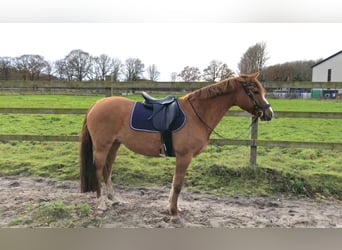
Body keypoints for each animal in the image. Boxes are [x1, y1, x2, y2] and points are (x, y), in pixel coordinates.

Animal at [79, 72, 272, 223]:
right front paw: (174, 214)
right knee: (98, 170)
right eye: (255, 91)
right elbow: (178, 185)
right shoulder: (184, 156)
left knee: (107, 170)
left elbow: (173, 183)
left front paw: (171, 208)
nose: (269, 114)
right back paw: (101, 204)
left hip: (114, 144)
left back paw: (113, 199)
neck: (197, 114)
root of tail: (96, 105)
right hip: (102, 146)